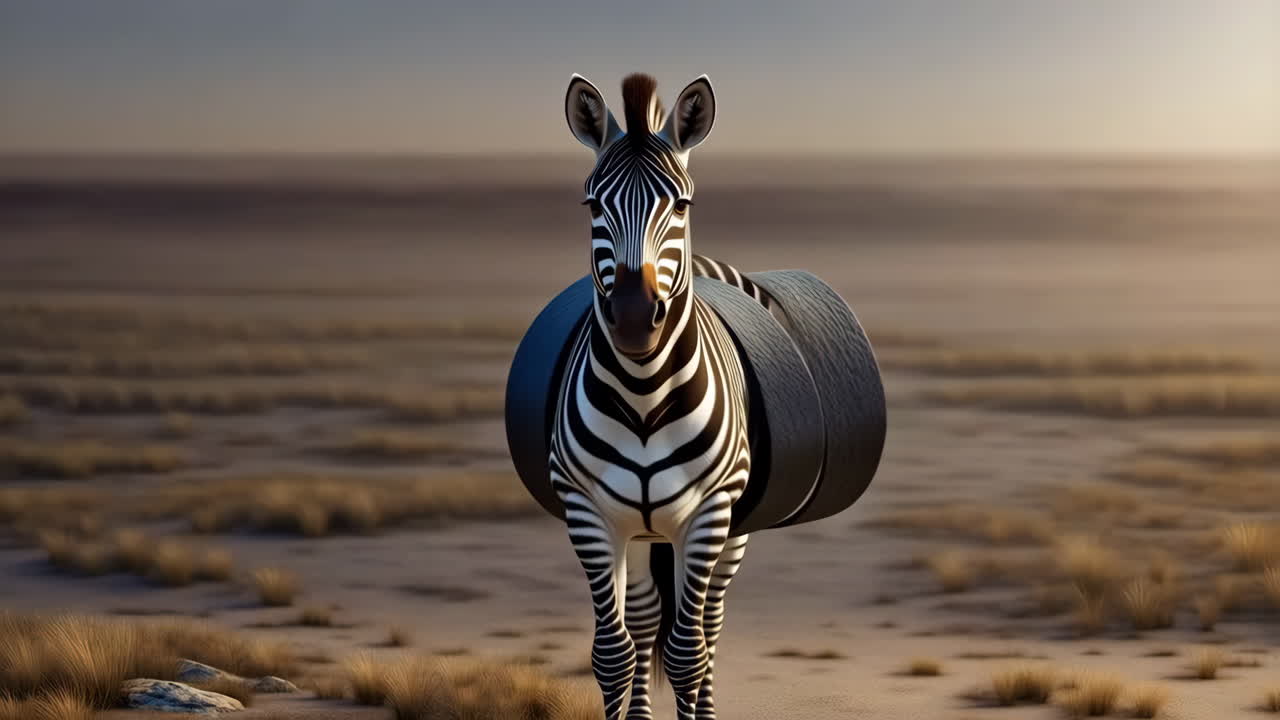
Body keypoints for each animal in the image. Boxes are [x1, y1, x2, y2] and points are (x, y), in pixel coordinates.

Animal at [553, 72, 767, 720]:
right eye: (592, 205)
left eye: (682, 204)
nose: (630, 320)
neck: (645, 394)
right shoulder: (588, 511)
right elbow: (613, 653)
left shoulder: (711, 510)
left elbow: (688, 653)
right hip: (641, 531)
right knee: (649, 620)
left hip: (730, 529)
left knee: (708, 629)